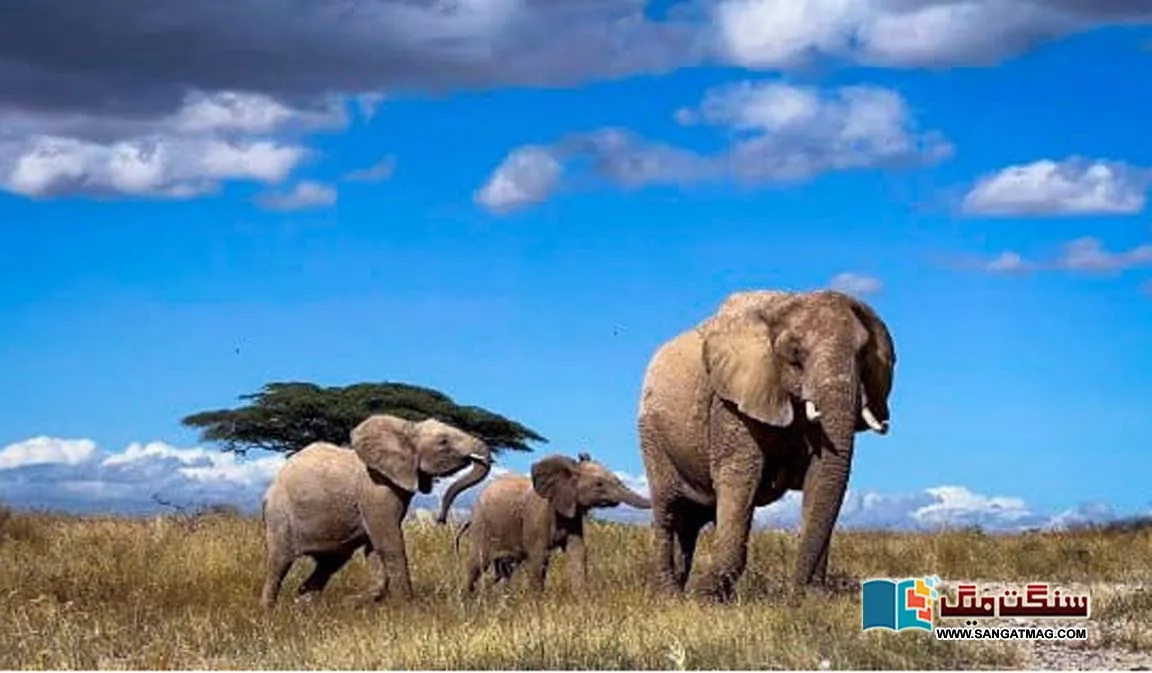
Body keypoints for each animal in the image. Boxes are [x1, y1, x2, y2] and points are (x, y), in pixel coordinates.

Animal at [259, 413, 492, 607]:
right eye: (443, 442)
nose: (440, 519)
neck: (407, 428)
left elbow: (374, 548)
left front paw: (360, 601)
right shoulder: (376, 488)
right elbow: (389, 542)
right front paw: (408, 607)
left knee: (330, 563)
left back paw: (304, 601)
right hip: (280, 514)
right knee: (279, 562)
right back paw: (269, 611)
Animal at [453, 452, 651, 594]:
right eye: (599, 484)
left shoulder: (572, 514)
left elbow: (577, 552)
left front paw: (583, 600)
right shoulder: (536, 516)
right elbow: (539, 557)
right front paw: (537, 604)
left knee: (504, 570)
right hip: (482, 525)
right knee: (477, 563)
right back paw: (467, 600)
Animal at [637, 289, 896, 601]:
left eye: (863, 354)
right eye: (795, 354)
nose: (795, 594)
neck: (786, 303)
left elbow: (820, 478)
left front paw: (814, 597)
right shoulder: (731, 401)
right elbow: (740, 477)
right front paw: (704, 598)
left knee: (691, 520)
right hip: (652, 435)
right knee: (667, 508)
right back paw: (669, 596)